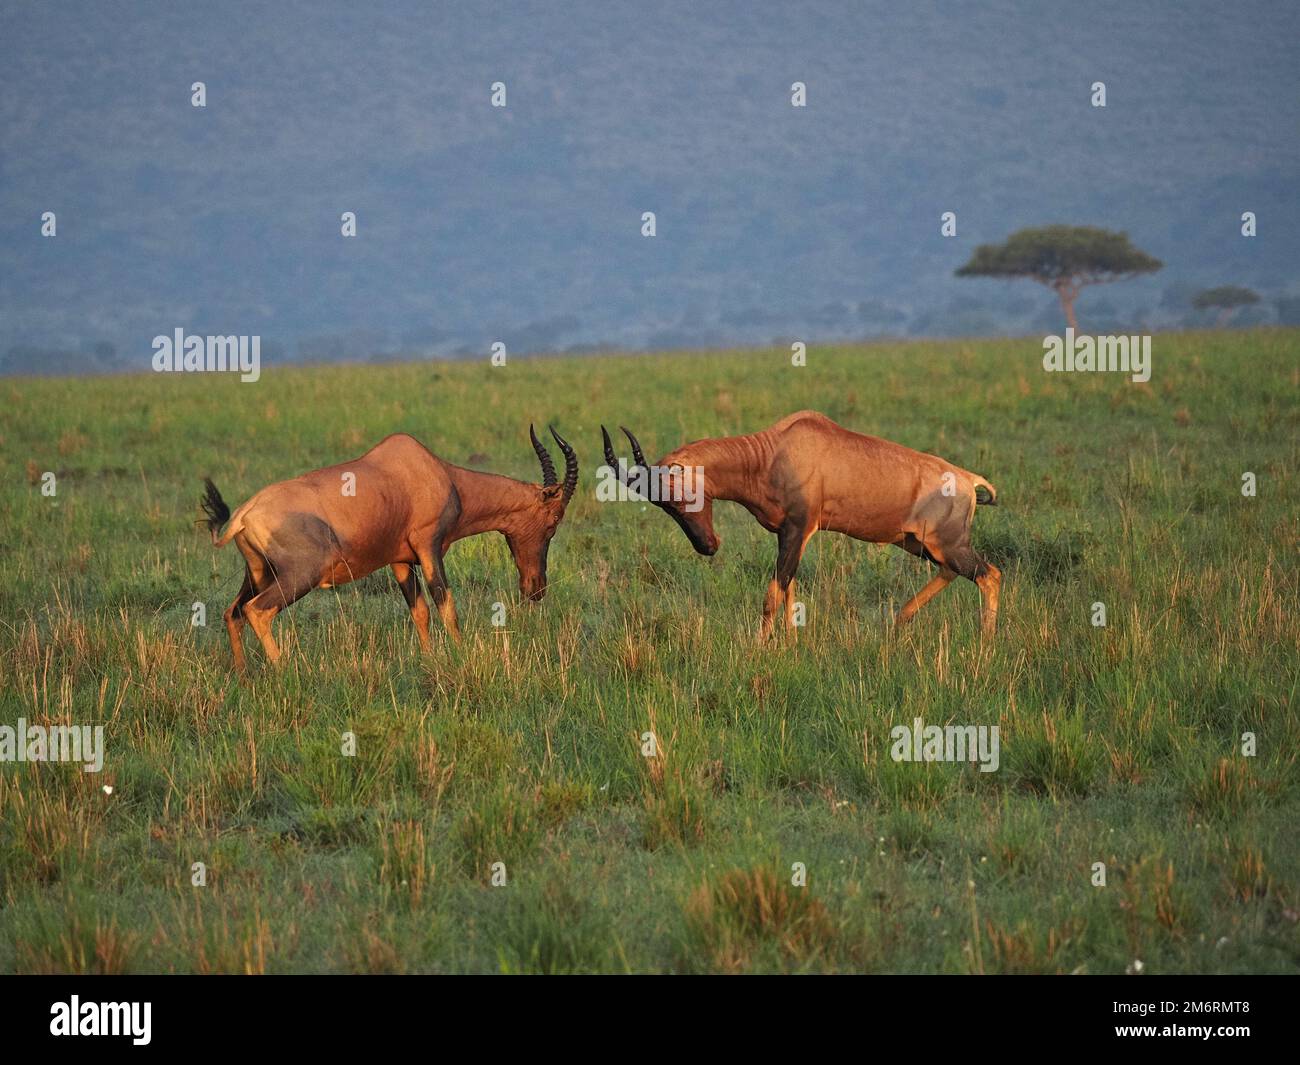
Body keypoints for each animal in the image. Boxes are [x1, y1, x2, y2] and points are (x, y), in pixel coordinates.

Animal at [198, 426, 579, 670]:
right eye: (553, 521)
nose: (536, 589)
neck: (436, 473)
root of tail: (246, 513)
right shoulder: (429, 547)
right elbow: (445, 603)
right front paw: (458, 655)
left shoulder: (400, 561)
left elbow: (419, 611)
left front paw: (429, 659)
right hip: (298, 576)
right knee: (257, 611)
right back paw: (282, 669)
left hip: (258, 573)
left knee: (233, 613)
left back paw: (243, 675)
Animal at [603, 408, 998, 637]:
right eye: (663, 507)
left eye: (678, 496)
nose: (708, 546)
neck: (775, 450)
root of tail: (969, 479)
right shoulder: (786, 534)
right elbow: (789, 591)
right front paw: (789, 648)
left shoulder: (798, 528)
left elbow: (771, 595)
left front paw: (757, 652)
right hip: (919, 543)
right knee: (953, 572)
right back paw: (900, 620)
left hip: (947, 544)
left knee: (989, 575)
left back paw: (985, 647)